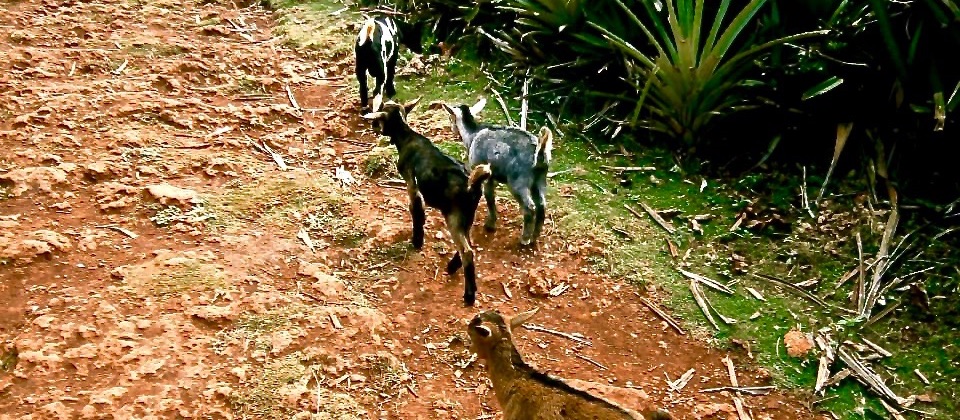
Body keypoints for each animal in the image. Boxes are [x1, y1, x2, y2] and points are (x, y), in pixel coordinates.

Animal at [362, 100, 492, 306]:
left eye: (380, 115)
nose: (374, 127)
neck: (407, 137)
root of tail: (471, 184)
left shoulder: (411, 182)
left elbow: (416, 209)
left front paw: (416, 241)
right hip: (467, 214)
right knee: (469, 242)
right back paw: (452, 266)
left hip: (454, 216)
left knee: (467, 251)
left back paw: (469, 296)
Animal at [438, 99, 552, 246]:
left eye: (450, 117)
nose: (452, 130)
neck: (472, 135)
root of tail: (539, 155)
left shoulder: (483, 170)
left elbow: (488, 196)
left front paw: (490, 225)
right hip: (540, 178)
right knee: (542, 205)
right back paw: (534, 238)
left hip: (518, 180)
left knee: (530, 207)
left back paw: (524, 239)